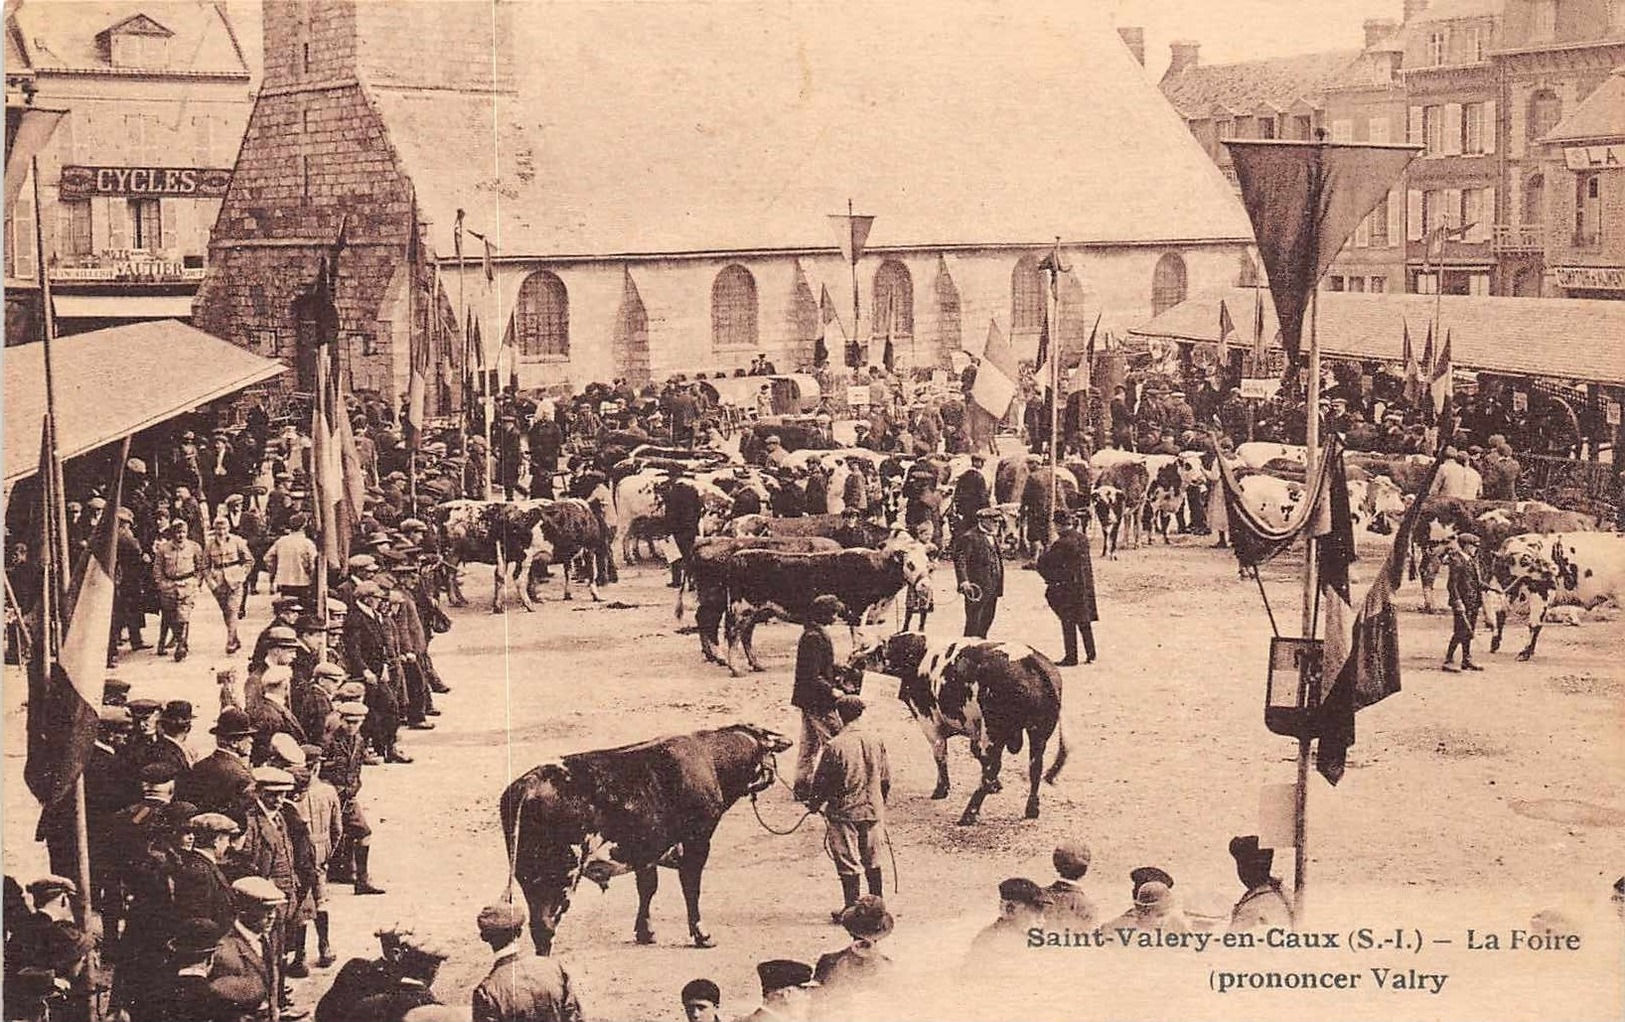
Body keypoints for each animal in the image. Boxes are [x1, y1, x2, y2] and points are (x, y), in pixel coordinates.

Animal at [500, 721, 793, 955]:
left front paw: (645, 932)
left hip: (529, 877)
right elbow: (691, 888)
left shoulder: (645, 850)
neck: (711, 760)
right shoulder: (697, 841)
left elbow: (648, 887)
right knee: (546, 926)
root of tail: (529, 784)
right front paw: (702, 936)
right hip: (562, 875)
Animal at [679, 529, 845, 666]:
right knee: (708, 621)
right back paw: (720, 658)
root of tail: (705, 542)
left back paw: (713, 656)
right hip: (716, 601)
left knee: (704, 620)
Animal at [721, 542, 936, 679]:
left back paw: (756, 665)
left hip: (756, 612)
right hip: (741, 610)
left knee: (746, 636)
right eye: (910, 564)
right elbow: (861, 641)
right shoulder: (858, 612)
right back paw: (736, 669)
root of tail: (736, 557)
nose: (925, 586)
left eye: (929, 566)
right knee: (733, 637)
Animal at [845, 633, 1072, 825]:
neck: (919, 656)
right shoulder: (974, 728)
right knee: (1035, 768)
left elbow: (941, 756)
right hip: (1038, 734)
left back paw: (969, 814)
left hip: (994, 732)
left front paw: (941, 790)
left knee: (993, 766)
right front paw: (996, 786)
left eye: (879, 649)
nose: (852, 658)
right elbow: (975, 753)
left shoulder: (930, 722)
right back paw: (1031, 809)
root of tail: (1031, 661)